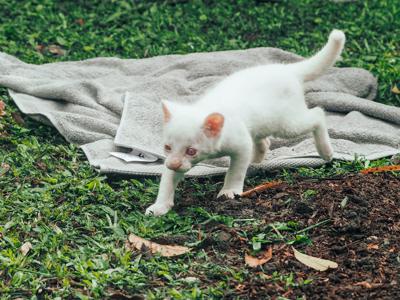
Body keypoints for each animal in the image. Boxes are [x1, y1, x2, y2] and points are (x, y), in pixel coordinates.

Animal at [145, 29, 346, 216]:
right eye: (167, 147)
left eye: (191, 151)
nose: (173, 164)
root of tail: (286, 70)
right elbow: (167, 180)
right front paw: (159, 206)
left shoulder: (240, 144)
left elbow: (236, 170)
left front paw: (229, 191)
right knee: (264, 139)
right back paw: (257, 158)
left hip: (287, 124)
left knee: (318, 114)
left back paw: (326, 151)